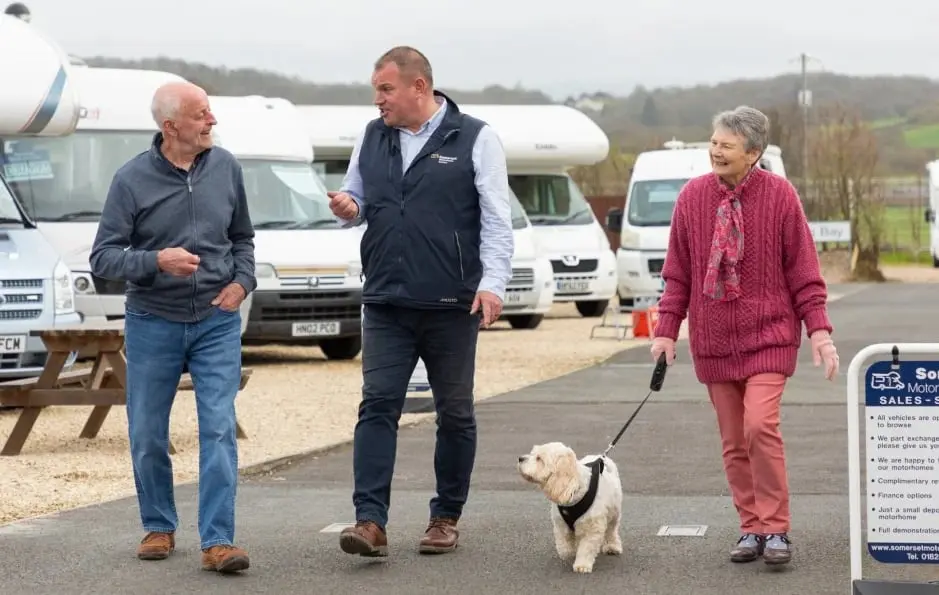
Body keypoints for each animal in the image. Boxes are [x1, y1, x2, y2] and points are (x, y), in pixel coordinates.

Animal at [516, 442, 624, 572]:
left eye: (539, 458)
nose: (520, 458)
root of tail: (601, 457)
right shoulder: (561, 524)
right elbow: (565, 546)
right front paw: (570, 552)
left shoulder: (592, 527)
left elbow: (586, 547)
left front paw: (582, 565)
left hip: (614, 513)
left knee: (611, 530)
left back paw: (612, 546)